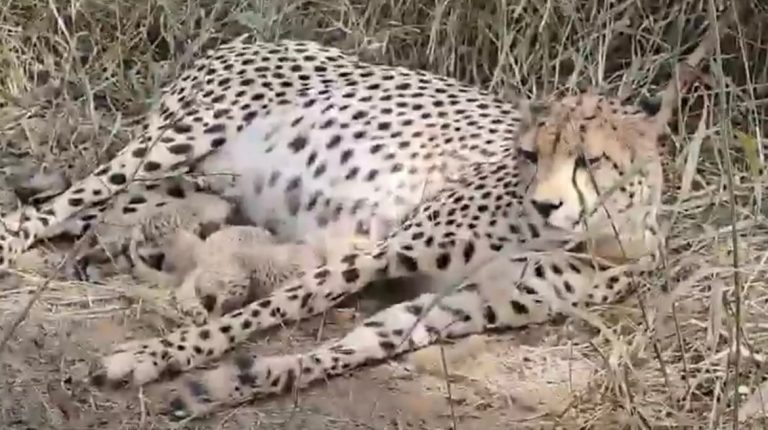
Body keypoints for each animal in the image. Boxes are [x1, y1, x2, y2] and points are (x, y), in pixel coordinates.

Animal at [0, 36, 687, 419]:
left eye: (589, 161)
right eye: (528, 155)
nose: (546, 205)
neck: (595, 235)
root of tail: (255, 40)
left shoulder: (456, 305)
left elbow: (343, 348)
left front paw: (233, 384)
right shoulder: (383, 251)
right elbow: (270, 309)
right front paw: (152, 357)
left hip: (194, 181)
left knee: (100, 214)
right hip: (174, 141)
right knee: (56, 206)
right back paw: (16, 242)